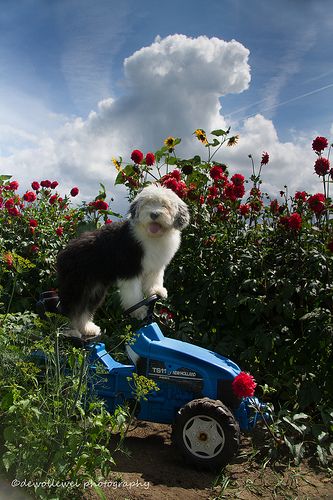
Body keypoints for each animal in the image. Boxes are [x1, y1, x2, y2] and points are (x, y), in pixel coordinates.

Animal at [55, 186, 188, 338]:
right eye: (147, 203)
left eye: (165, 205)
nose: (154, 214)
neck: (151, 236)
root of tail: (63, 253)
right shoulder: (130, 269)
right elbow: (133, 294)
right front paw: (139, 311)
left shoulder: (155, 266)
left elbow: (154, 281)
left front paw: (157, 291)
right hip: (77, 286)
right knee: (71, 309)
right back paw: (72, 331)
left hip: (94, 289)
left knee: (84, 310)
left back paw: (87, 329)